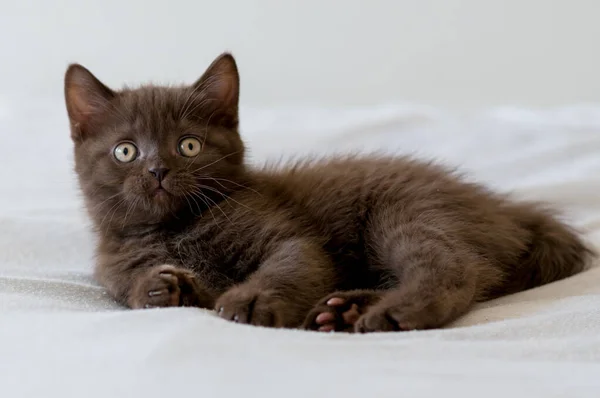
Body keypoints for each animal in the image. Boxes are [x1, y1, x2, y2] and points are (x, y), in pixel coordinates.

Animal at [63, 52, 592, 332]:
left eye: (188, 145)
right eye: (125, 151)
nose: (157, 170)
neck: (179, 228)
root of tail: (504, 209)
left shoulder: (287, 235)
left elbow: (294, 261)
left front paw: (250, 301)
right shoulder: (115, 269)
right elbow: (138, 289)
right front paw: (161, 287)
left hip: (405, 211)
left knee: (453, 267)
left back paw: (391, 312)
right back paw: (344, 309)